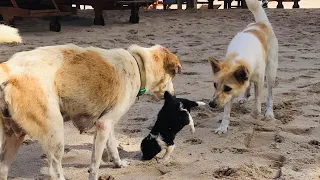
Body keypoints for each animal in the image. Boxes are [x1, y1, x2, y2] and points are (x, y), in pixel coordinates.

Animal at [0, 26, 181, 179]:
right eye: (172, 76)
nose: (173, 94)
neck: (138, 64)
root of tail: (9, 68)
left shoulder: (107, 123)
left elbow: (113, 146)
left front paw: (119, 164)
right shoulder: (104, 124)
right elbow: (95, 163)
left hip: (14, 136)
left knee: (3, 168)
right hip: (54, 132)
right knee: (54, 170)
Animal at [208, 0, 278, 134]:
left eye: (227, 88)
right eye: (214, 85)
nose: (211, 104)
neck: (237, 59)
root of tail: (261, 23)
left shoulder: (258, 82)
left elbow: (257, 106)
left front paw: (255, 115)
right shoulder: (229, 94)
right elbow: (226, 111)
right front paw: (223, 126)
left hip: (271, 71)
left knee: (270, 94)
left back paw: (269, 113)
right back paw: (244, 96)